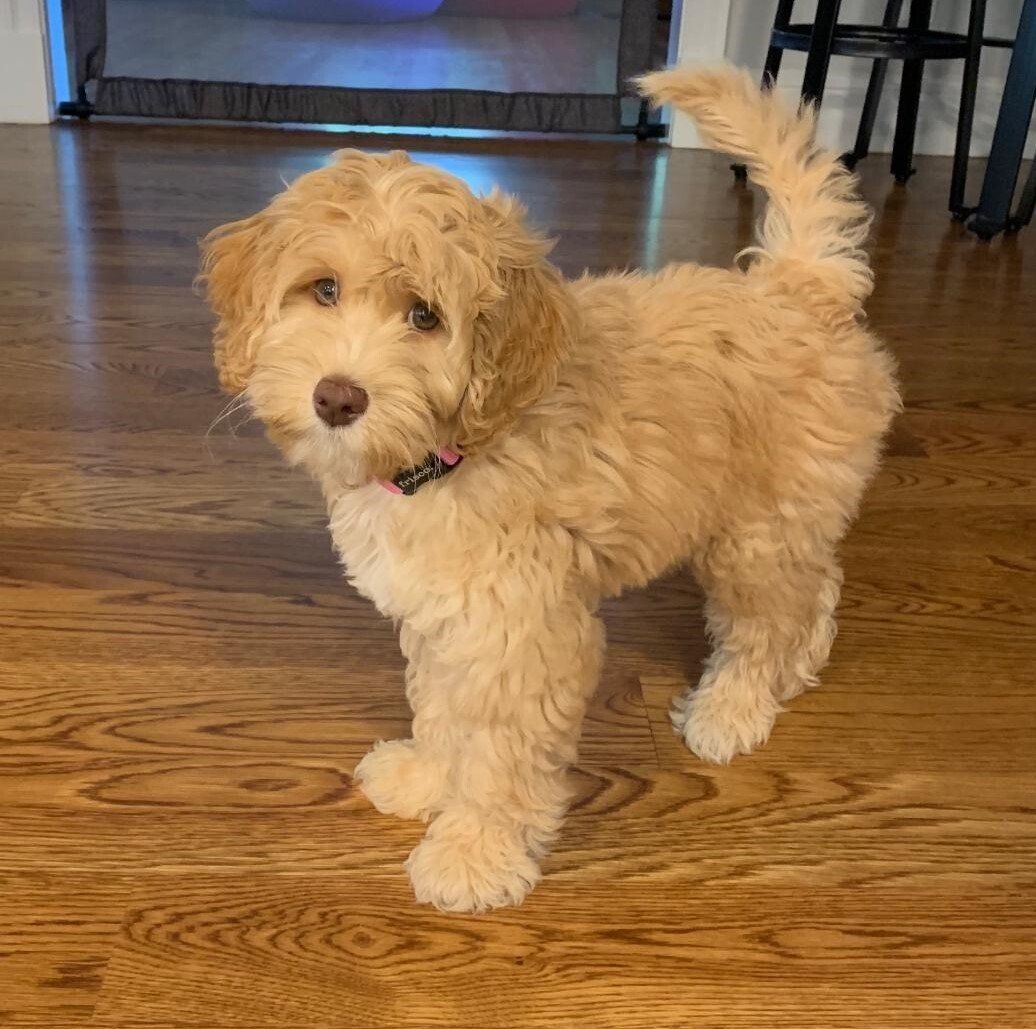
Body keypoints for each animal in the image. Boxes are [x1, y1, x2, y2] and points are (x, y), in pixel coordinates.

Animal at [199, 66, 900, 913]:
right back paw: (800, 665)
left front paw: (472, 854)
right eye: (323, 289)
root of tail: (799, 286)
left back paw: (733, 708)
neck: (454, 452)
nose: (337, 396)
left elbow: (498, 752)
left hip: (755, 531)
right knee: (816, 583)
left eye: (425, 316)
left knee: (767, 618)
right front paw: (426, 775)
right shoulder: (448, 613)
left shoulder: (521, 631)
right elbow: (442, 703)